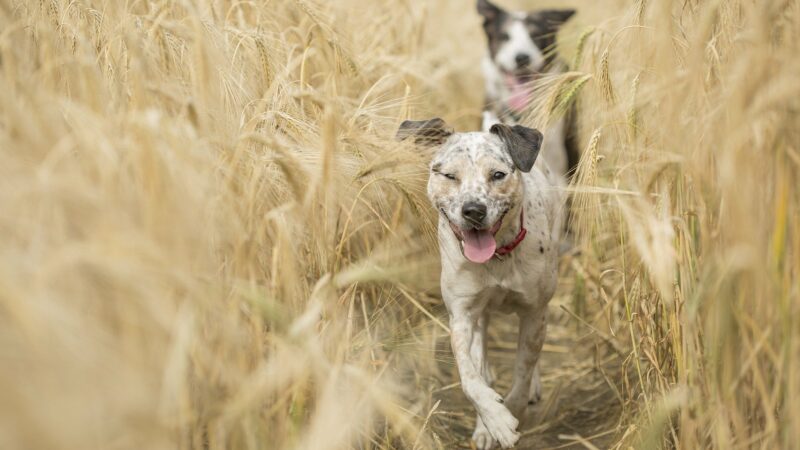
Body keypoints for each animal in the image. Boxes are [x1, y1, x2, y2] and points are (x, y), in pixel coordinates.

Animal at [396, 118, 564, 448]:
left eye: (497, 174)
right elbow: (469, 377)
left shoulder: (534, 312)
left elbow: (523, 373)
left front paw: (509, 413)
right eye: (450, 175)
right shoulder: (462, 314)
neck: (497, 257)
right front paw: (493, 421)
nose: (473, 210)